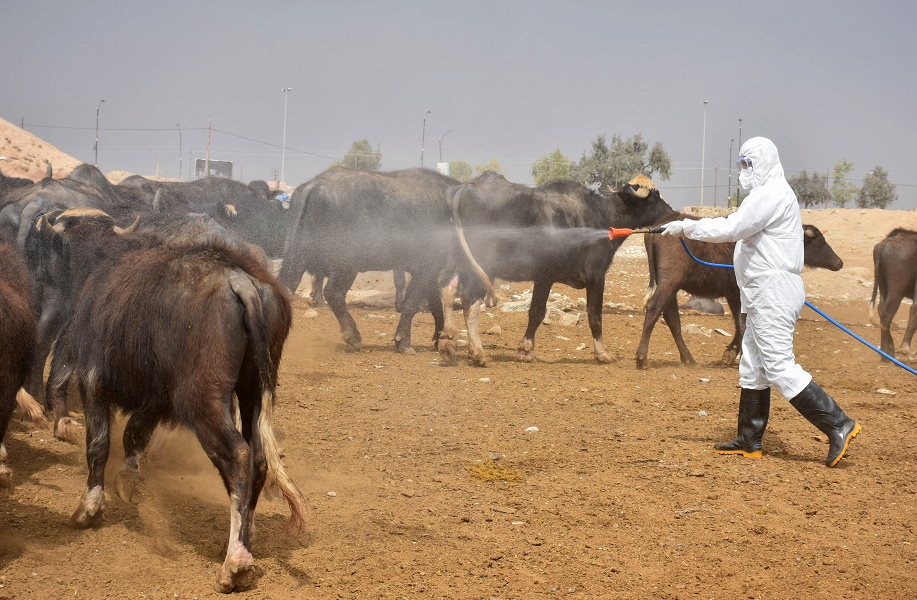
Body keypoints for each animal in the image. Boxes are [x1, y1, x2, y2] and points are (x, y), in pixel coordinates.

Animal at [440, 175, 676, 366]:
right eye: (655, 197)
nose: (673, 213)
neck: (602, 215)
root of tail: (465, 188)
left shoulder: (544, 278)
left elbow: (536, 312)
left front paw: (526, 350)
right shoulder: (594, 276)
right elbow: (593, 315)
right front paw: (603, 353)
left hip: (459, 262)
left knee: (447, 290)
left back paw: (450, 342)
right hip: (483, 268)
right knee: (470, 303)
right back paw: (478, 354)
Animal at [636, 213, 844, 368]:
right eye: (820, 241)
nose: (839, 262)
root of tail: (657, 229)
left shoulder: (733, 294)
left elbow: (739, 323)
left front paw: (731, 352)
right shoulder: (742, 293)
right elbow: (744, 323)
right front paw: (737, 353)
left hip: (670, 286)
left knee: (671, 318)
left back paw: (689, 359)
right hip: (669, 282)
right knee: (654, 309)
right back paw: (642, 358)